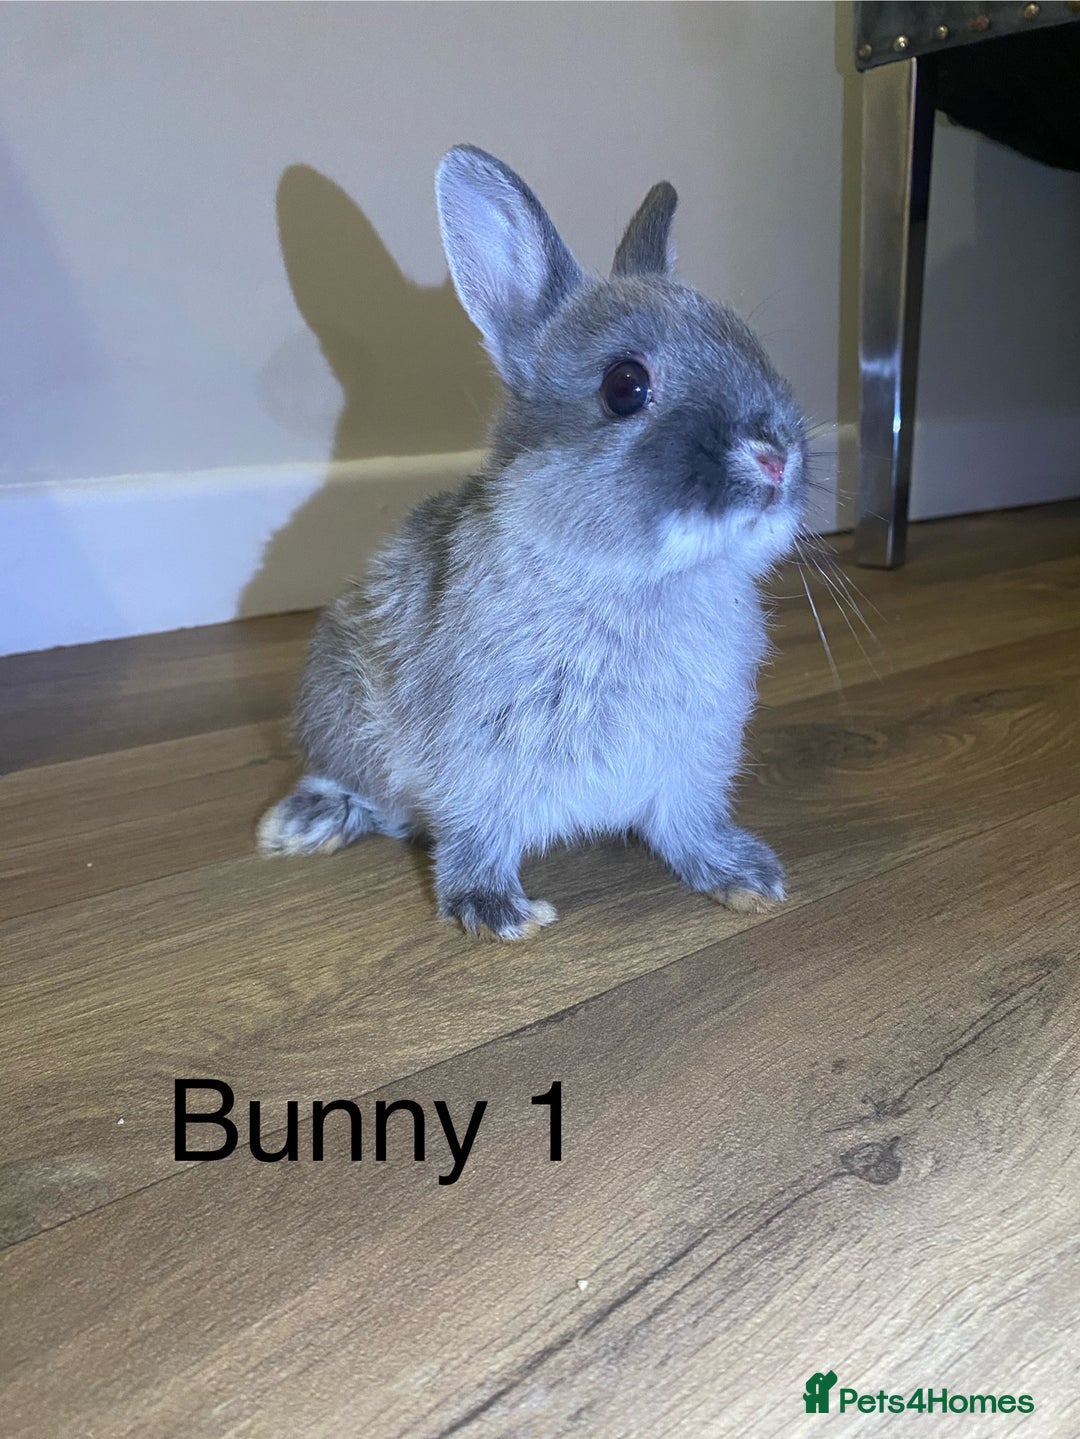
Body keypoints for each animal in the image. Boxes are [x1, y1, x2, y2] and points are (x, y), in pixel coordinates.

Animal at [257, 144, 809, 940]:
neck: (629, 578)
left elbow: (688, 825)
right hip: (339, 713)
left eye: (754, 346)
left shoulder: (694, 764)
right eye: (624, 385)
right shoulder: (473, 761)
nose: (774, 457)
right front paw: (497, 913)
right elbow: (475, 834)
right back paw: (305, 822)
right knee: (365, 792)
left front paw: (744, 878)